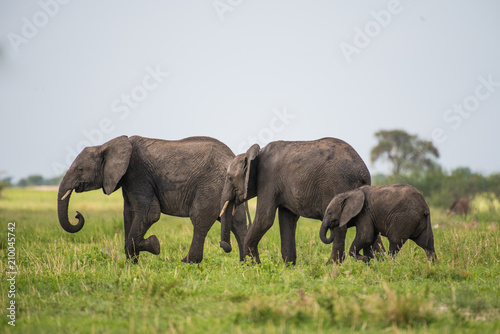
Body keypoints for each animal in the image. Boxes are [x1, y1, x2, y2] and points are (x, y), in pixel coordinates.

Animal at [57, 136, 249, 264]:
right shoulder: (128, 180)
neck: (107, 145)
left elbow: (150, 214)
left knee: (199, 219)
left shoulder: (137, 173)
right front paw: (132, 263)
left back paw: (187, 261)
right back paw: (246, 264)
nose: (77, 215)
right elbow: (130, 214)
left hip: (211, 186)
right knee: (237, 223)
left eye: (80, 169)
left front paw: (154, 246)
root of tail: (233, 157)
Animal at [220, 137, 386, 264]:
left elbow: (264, 219)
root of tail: (363, 171)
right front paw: (288, 267)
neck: (254, 154)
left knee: (340, 227)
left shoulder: (267, 180)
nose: (225, 246)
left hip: (338, 185)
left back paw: (331, 265)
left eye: (229, 178)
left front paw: (254, 267)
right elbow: (287, 219)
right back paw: (381, 262)